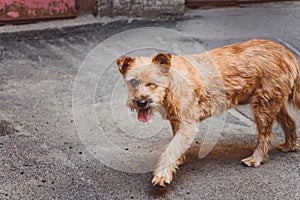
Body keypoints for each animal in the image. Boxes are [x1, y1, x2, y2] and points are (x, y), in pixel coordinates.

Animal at [115, 39, 300, 187]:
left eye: (152, 83)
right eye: (133, 82)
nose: (141, 102)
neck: (172, 83)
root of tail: (287, 53)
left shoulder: (187, 125)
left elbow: (171, 149)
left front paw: (162, 175)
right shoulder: (177, 122)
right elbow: (175, 145)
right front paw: (178, 160)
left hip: (263, 105)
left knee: (266, 136)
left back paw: (256, 158)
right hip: (272, 102)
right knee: (290, 122)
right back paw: (289, 145)